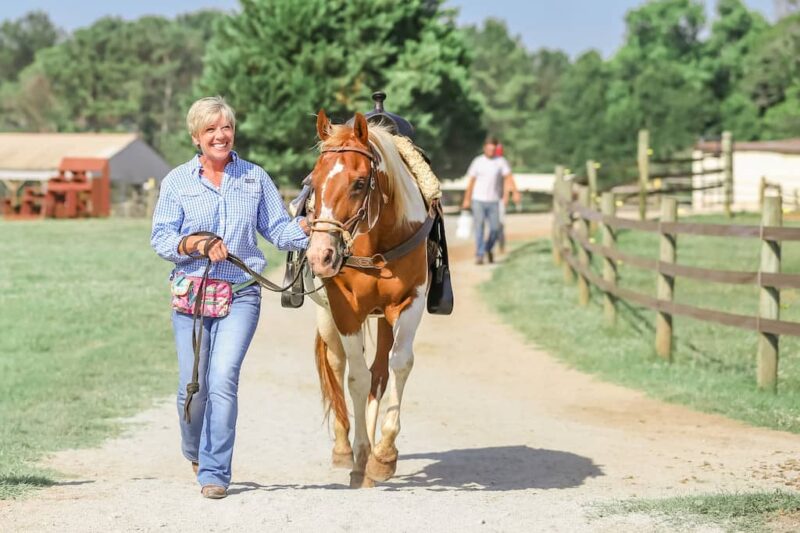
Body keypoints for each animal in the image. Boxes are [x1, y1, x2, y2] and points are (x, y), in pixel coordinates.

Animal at [306, 110, 434, 488]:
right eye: (313, 180)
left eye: (360, 183)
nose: (320, 256)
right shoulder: (345, 310)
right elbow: (355, 379)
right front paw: (360, 457)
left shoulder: (409, 304)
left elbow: (398, 365)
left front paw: (383, 455)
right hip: (327, 317)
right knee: (337, 365)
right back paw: (343, 449)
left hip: (385, 319)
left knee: (380, 371)